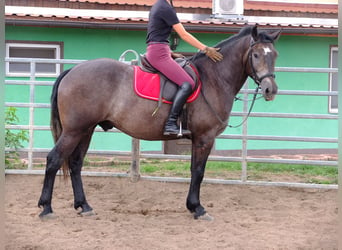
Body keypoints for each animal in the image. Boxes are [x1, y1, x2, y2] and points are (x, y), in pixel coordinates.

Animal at [37, 26, 280, 220]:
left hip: (86, 130)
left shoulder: (198, 139)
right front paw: (198, 209)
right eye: (256, 54)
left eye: (275, 55)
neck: (213, 78)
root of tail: (72, 70)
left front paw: (192, 206)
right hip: (74, 131)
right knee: (54, 160)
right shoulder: (204, 138)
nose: (270, 89)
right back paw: (46, 208)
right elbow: (198, 172)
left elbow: (194, 170)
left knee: (76, 163)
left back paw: (84, 206)